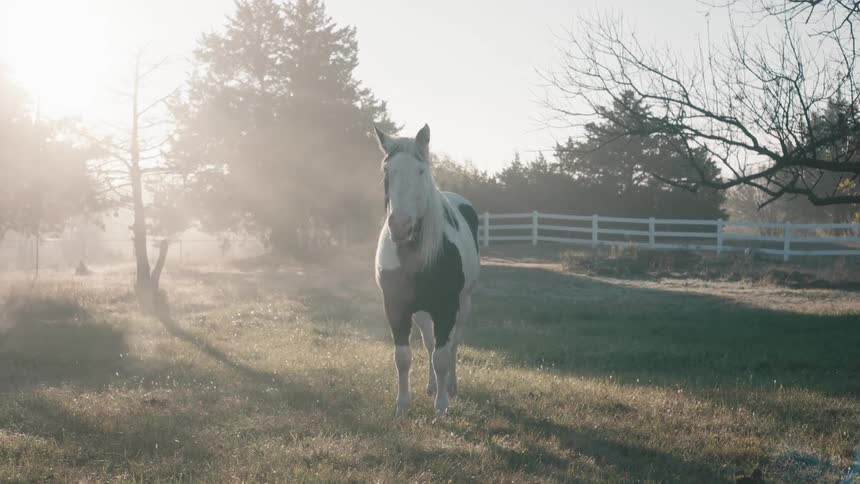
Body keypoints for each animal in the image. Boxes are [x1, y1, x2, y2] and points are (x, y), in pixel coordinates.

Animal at [373, 124, 481, 417]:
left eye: (421, 171)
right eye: (387, 170)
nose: (400, 226)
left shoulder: (447, 307)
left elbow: (442, 357)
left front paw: (441, 407)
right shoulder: (395, 306)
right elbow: (403, 357)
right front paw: (402, 405)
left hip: (464, 305)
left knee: (452, 345)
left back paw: (450, 386)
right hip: (422, 313)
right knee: (431, 343)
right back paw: (433, 385)